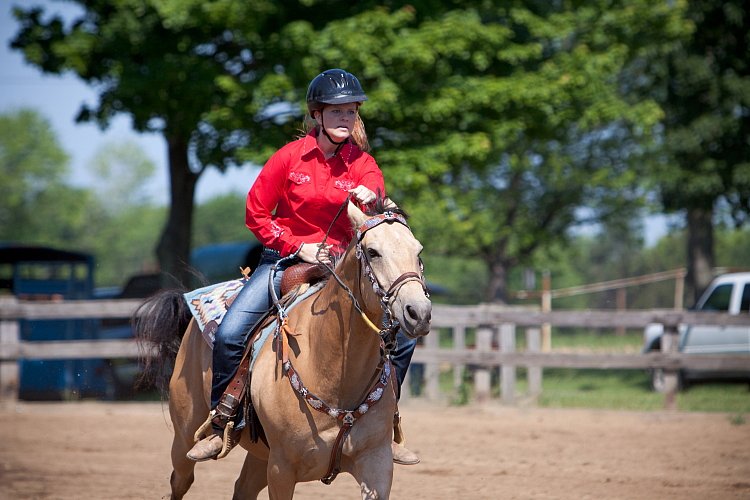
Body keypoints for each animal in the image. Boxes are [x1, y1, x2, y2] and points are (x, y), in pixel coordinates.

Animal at [132, 202, 432, 500]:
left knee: (242, 489)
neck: (333, 370)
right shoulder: (282, 469)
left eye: (418, 251)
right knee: (179, 481)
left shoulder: (376, 464)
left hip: (259, 455)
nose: (418, 312)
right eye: (372, 252)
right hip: (184, 438)